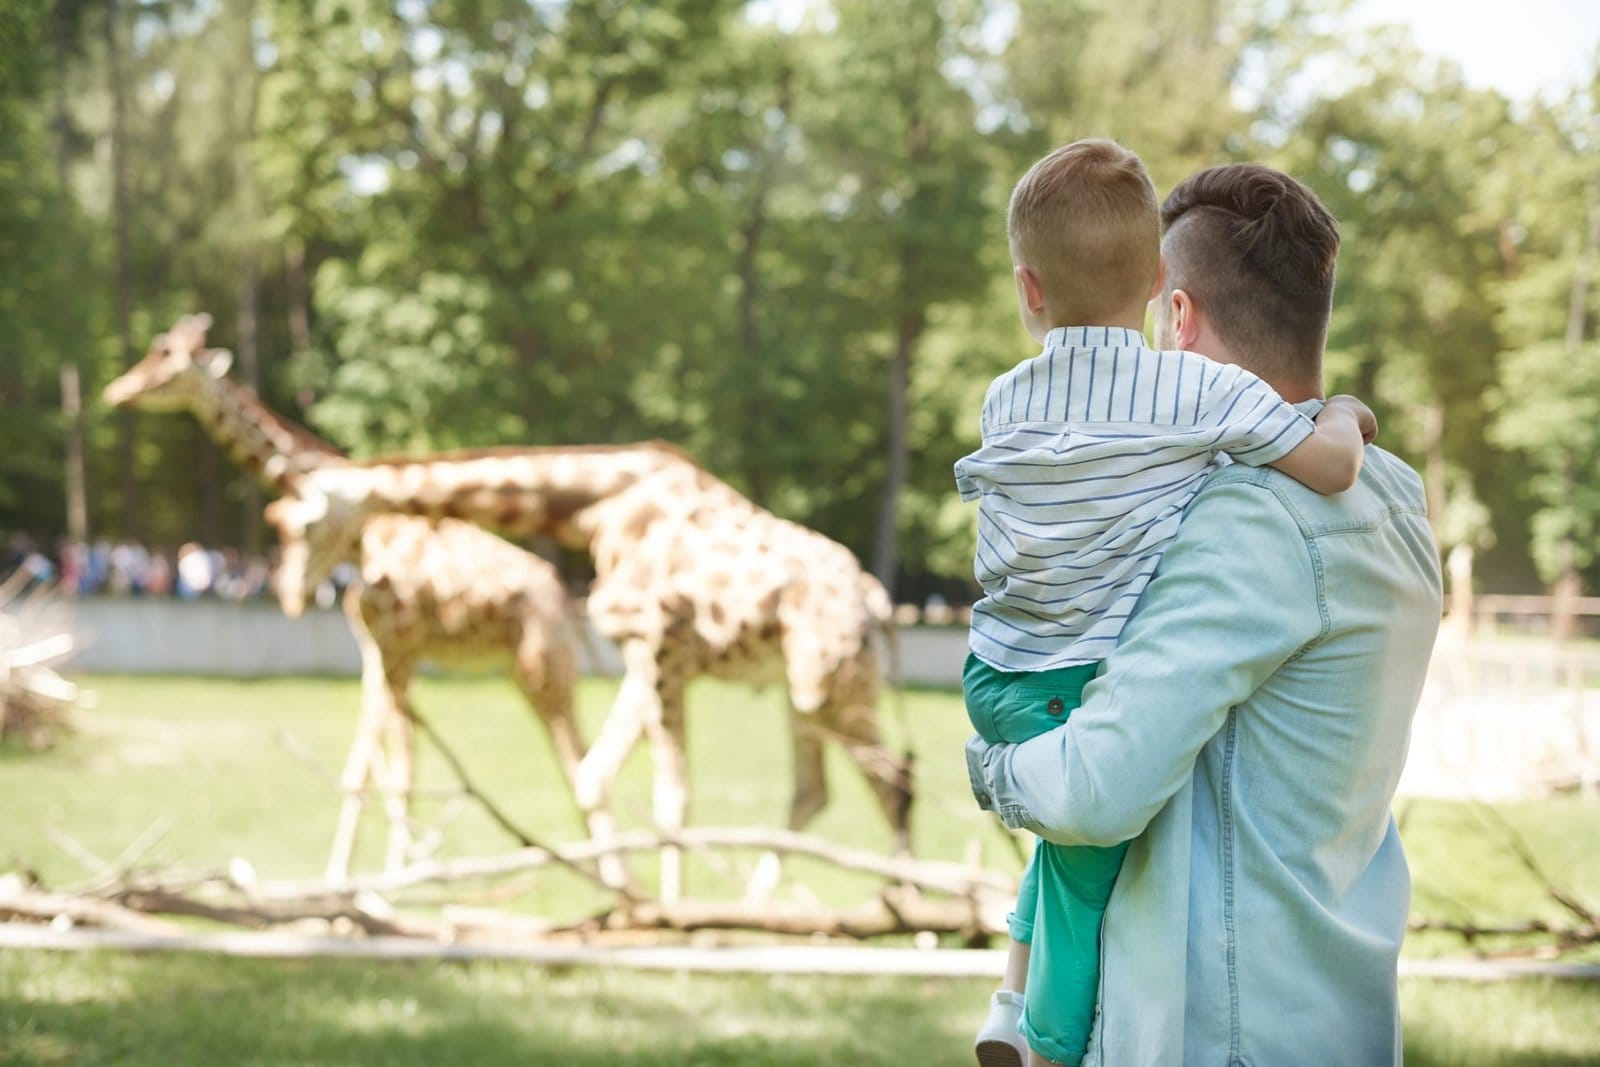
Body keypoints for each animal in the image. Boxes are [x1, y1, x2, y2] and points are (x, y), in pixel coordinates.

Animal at [102, 316, 618, 885]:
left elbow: (399, 766)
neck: (363, 538)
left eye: (168, 358)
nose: (117, 390)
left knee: (581, 763)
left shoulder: (397, 647)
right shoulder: (375, 649)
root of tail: (567, 602)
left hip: (542, 669)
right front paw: (346, 876)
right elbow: (367, 766)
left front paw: (395, 875)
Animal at [267, 444, 915, 903]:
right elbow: (595, 775)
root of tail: (879, 604)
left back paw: (913, 911)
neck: (596, 508)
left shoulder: (662, 648)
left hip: (831, 687)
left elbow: (670, 794)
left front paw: (671, 916)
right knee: (819, 789)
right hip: (808, 693)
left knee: (895, 781)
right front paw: (630, 901)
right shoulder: (641, 655)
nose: (293, 591)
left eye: (305, 524)